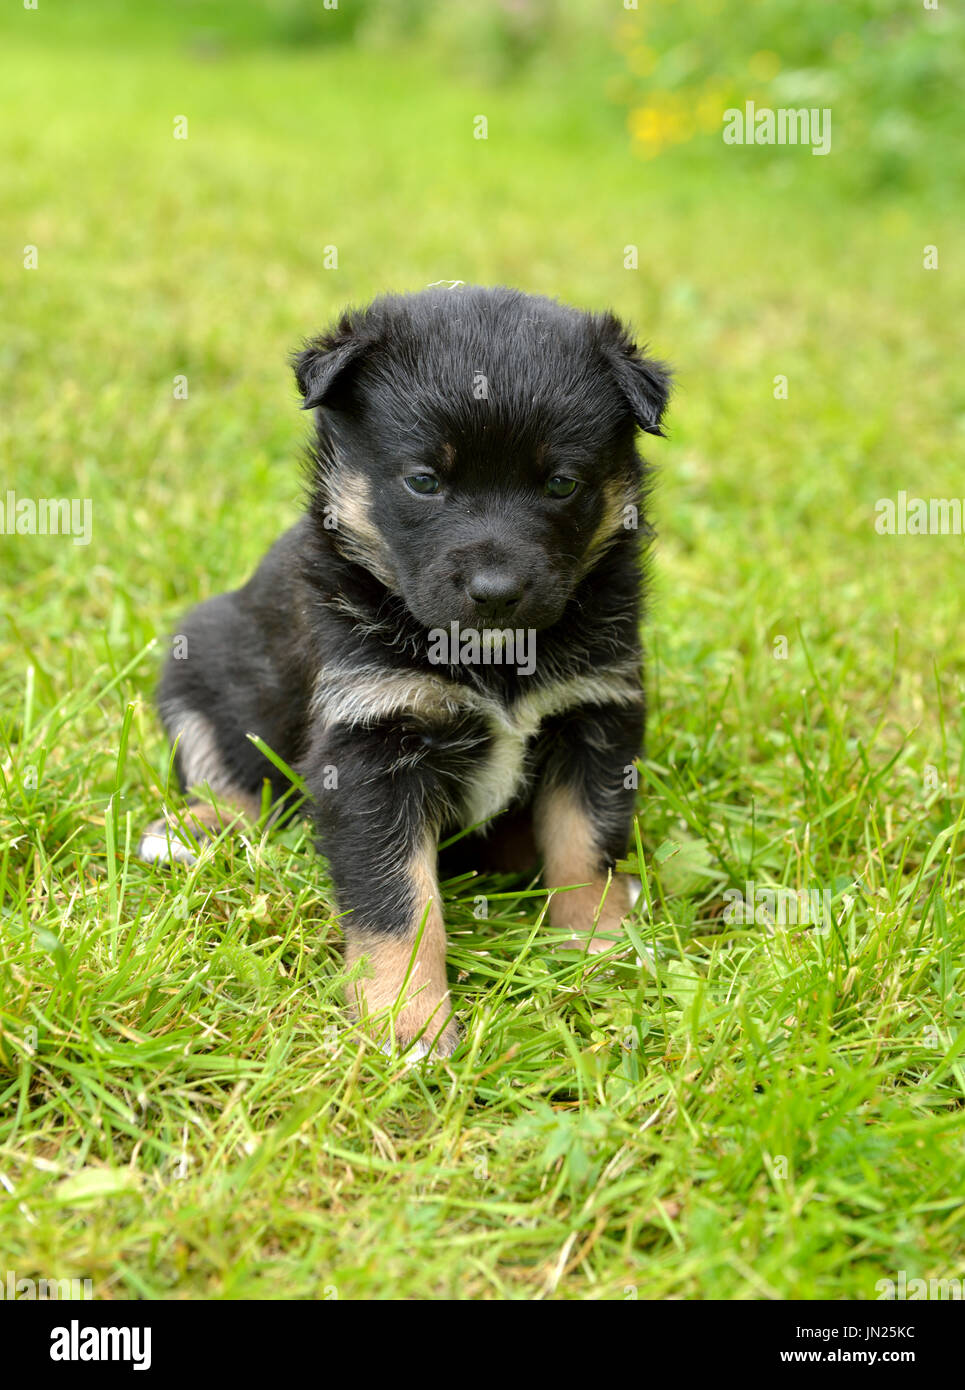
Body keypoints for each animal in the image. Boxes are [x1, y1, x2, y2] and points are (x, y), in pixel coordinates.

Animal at [139, 287, 672, 1056]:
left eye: (561, 483)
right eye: (423, 482)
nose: (496, 591)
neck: (492, 656)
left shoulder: (595, 713)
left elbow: (584, 845)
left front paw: (597, 951)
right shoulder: (370, 739)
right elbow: (400, 903)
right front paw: (409, 1021)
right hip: (199, 662)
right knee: (227, 775)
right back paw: (196, 829)